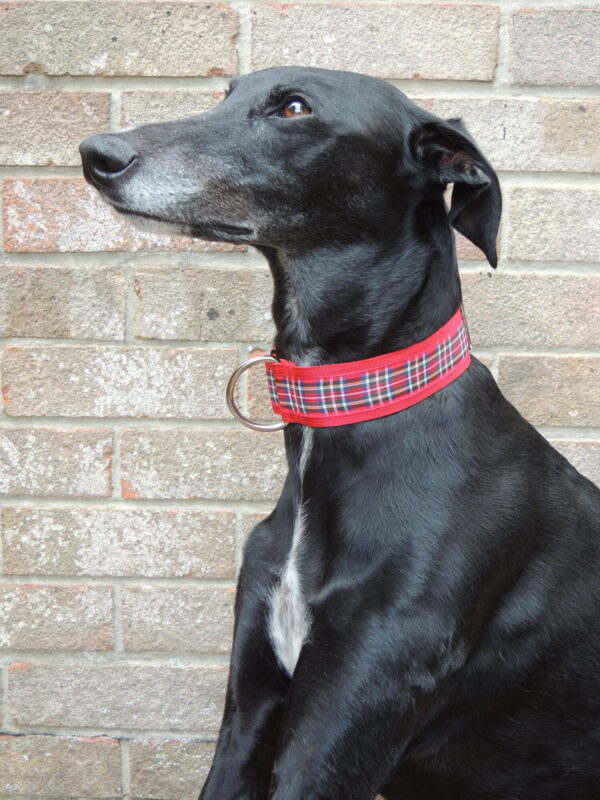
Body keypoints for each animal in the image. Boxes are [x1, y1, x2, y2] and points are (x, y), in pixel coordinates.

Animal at [81, 67, 600, 800]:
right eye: (225, 94)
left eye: (295, 108)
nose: (96, 154)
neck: (352, 401)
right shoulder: (251, 709)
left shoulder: (353, 706)